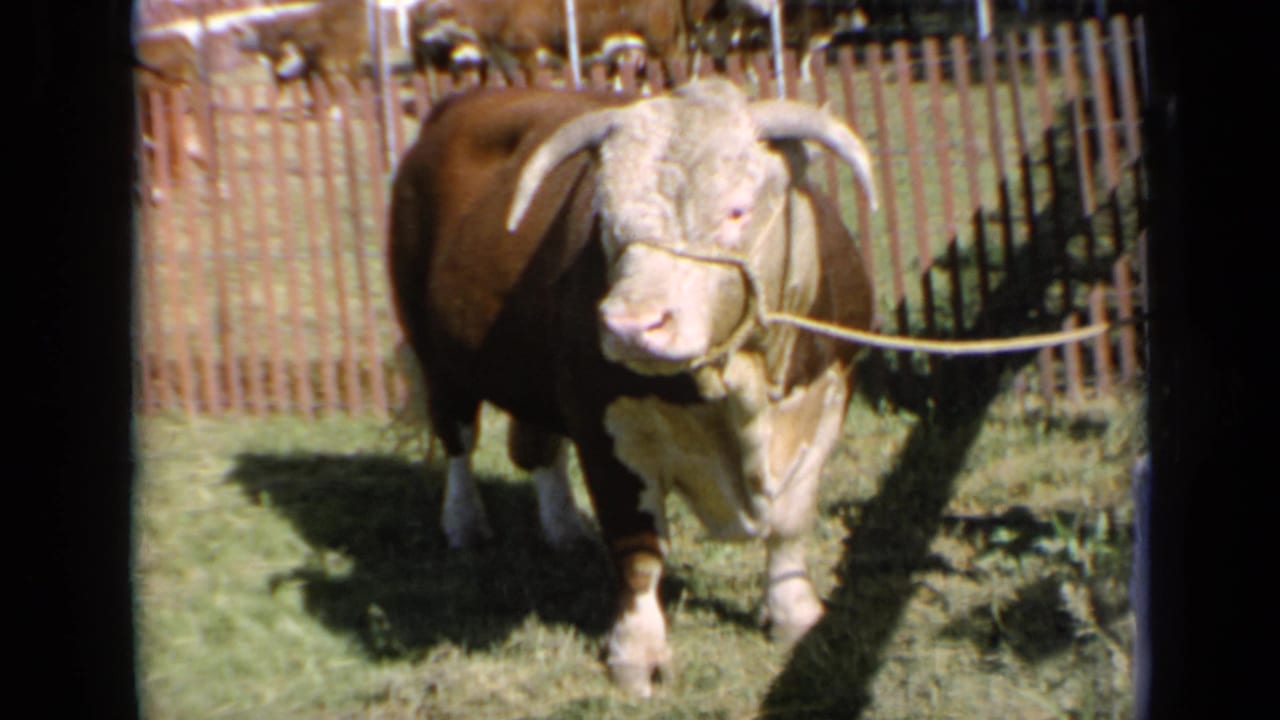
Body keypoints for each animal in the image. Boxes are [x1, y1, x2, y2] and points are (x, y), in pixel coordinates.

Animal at [388, 77, 877, 696]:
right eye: (606, 218)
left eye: (737, 210)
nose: (629, 324)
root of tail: (463, 101)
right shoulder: (603, 426)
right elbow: (639, 547)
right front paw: (637, 653)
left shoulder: (827, 400)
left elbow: (791, 523)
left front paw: (795, 614)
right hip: (438, 360)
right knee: (458, 442)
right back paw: (465, 523)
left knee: (536, 446)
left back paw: (564, 526)